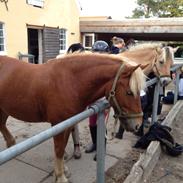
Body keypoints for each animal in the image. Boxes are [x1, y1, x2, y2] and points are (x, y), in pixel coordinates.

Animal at [0, 53, 146, 182]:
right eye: (129, 92)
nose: (138, 125)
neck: (70, 81)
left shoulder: (68, 124)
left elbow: (62, 147)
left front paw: (63, 171)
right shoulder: (58, 125)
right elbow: (59, 149)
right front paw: (61, 177)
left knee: (2, 124)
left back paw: (11, 144)